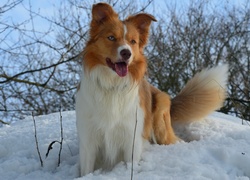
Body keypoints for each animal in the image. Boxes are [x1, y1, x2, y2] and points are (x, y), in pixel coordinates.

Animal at [75, 2, 229, 175]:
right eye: (111, 37)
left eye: (133, 41)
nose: (126, 53)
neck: (112, 85)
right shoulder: (88, 139)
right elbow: (86, 170)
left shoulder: (131, 137)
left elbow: (130, 165)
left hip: (161, 116)